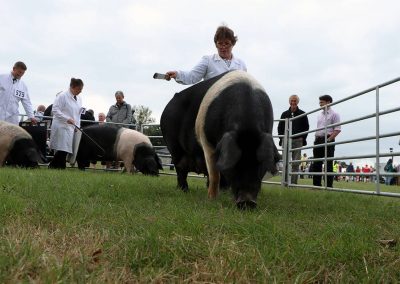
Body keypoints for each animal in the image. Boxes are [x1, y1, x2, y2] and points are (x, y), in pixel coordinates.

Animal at [161, 71, 280, 209]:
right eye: (235, 164)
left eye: (260, 164)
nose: (247, 202)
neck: (247, 127)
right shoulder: (206, 141)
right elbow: (214, 174)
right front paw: (211, 199)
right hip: (173, 145)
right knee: (180, 168)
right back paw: (183, 190)